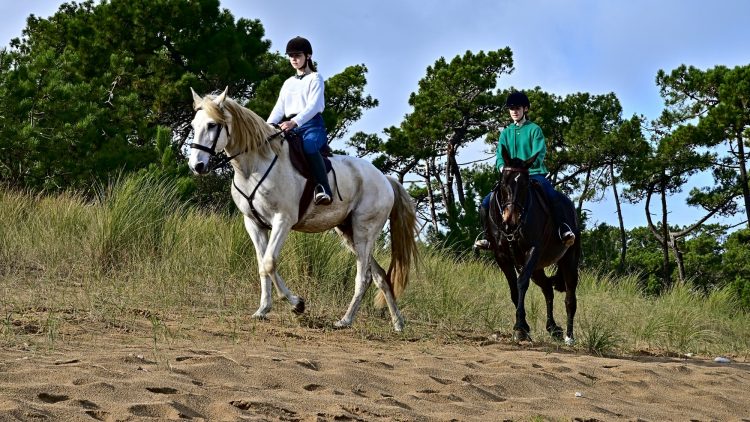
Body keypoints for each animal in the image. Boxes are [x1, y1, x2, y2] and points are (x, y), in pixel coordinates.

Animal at [187, 88, 418, 332]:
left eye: (212, 125)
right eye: (193, 125)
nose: (196, 166)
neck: (253, 168)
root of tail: (385, 179)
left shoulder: (282, 220)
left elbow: (269, 262)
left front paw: (297, 304)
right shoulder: (254, 224)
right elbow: (262, 266)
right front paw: (263, 310)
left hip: (364, 231)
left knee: (363, 277)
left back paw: (345, 320)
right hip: (349, 233)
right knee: (380, 276)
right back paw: (398, 323)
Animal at [485, 145, 580, 345]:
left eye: (524, 185)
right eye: (503, 182)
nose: (510, 220)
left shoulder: (533, 251)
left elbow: (521, 283)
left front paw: (520, 328)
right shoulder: (502, 257)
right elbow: (514, 290)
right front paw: (523, 327)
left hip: (569, 260)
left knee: (570, 298)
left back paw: (569, 336)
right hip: (537, 269)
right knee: (547, 290)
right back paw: (553, 328)